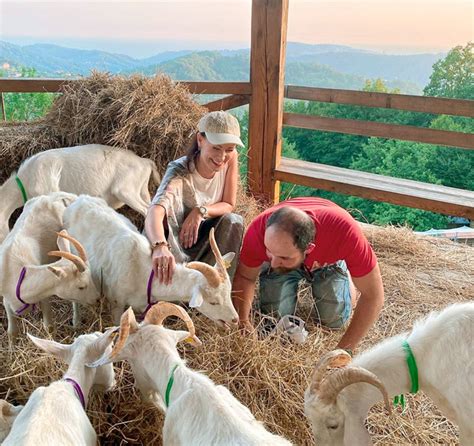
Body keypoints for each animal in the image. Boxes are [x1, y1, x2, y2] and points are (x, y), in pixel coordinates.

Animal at [0, 193, 100, 338]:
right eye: (81, 286)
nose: (98, 299)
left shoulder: (44, 295)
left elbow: (49, 327)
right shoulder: (6, 299)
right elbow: (12, 332)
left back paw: (76, 322)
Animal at [63, 197, 239, 326]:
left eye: (229, 294)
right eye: (213, 302)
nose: (235, 319)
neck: (142, 270)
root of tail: (77, 201)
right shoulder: (116, 302)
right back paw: (76, 322)